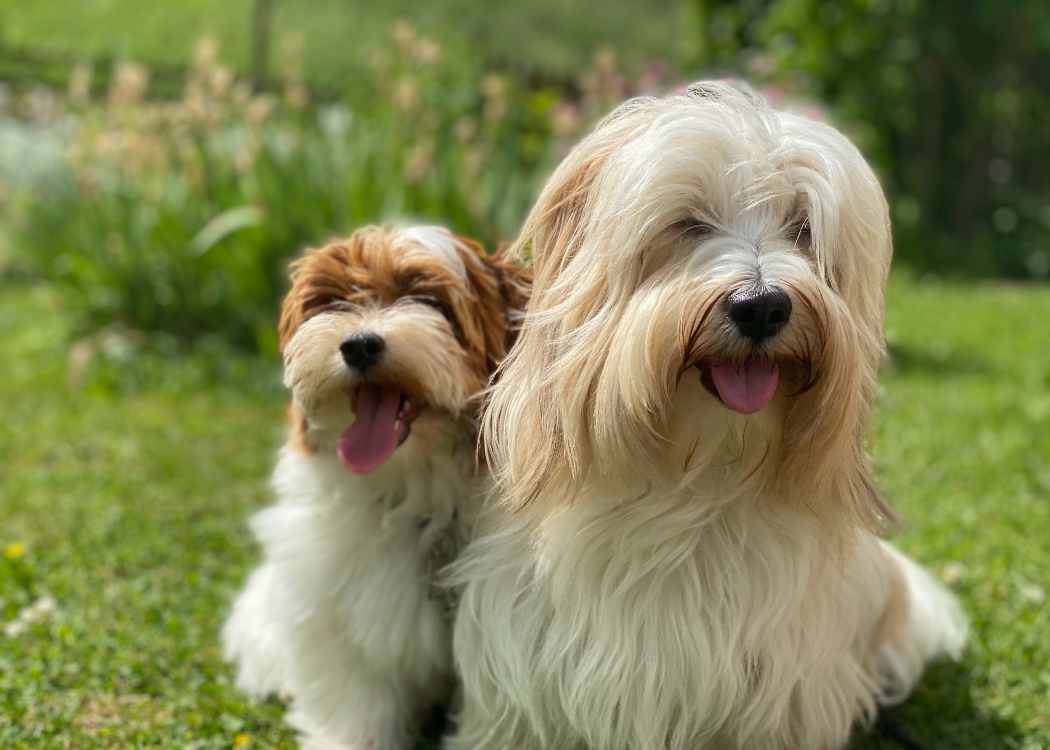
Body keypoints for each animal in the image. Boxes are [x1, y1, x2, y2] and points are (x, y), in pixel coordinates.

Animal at [224, 223, 529, 747]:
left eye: (426, 298)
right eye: (333, 301)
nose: (359, 345)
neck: (417, 487)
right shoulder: (334, 596)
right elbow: (356, 686)